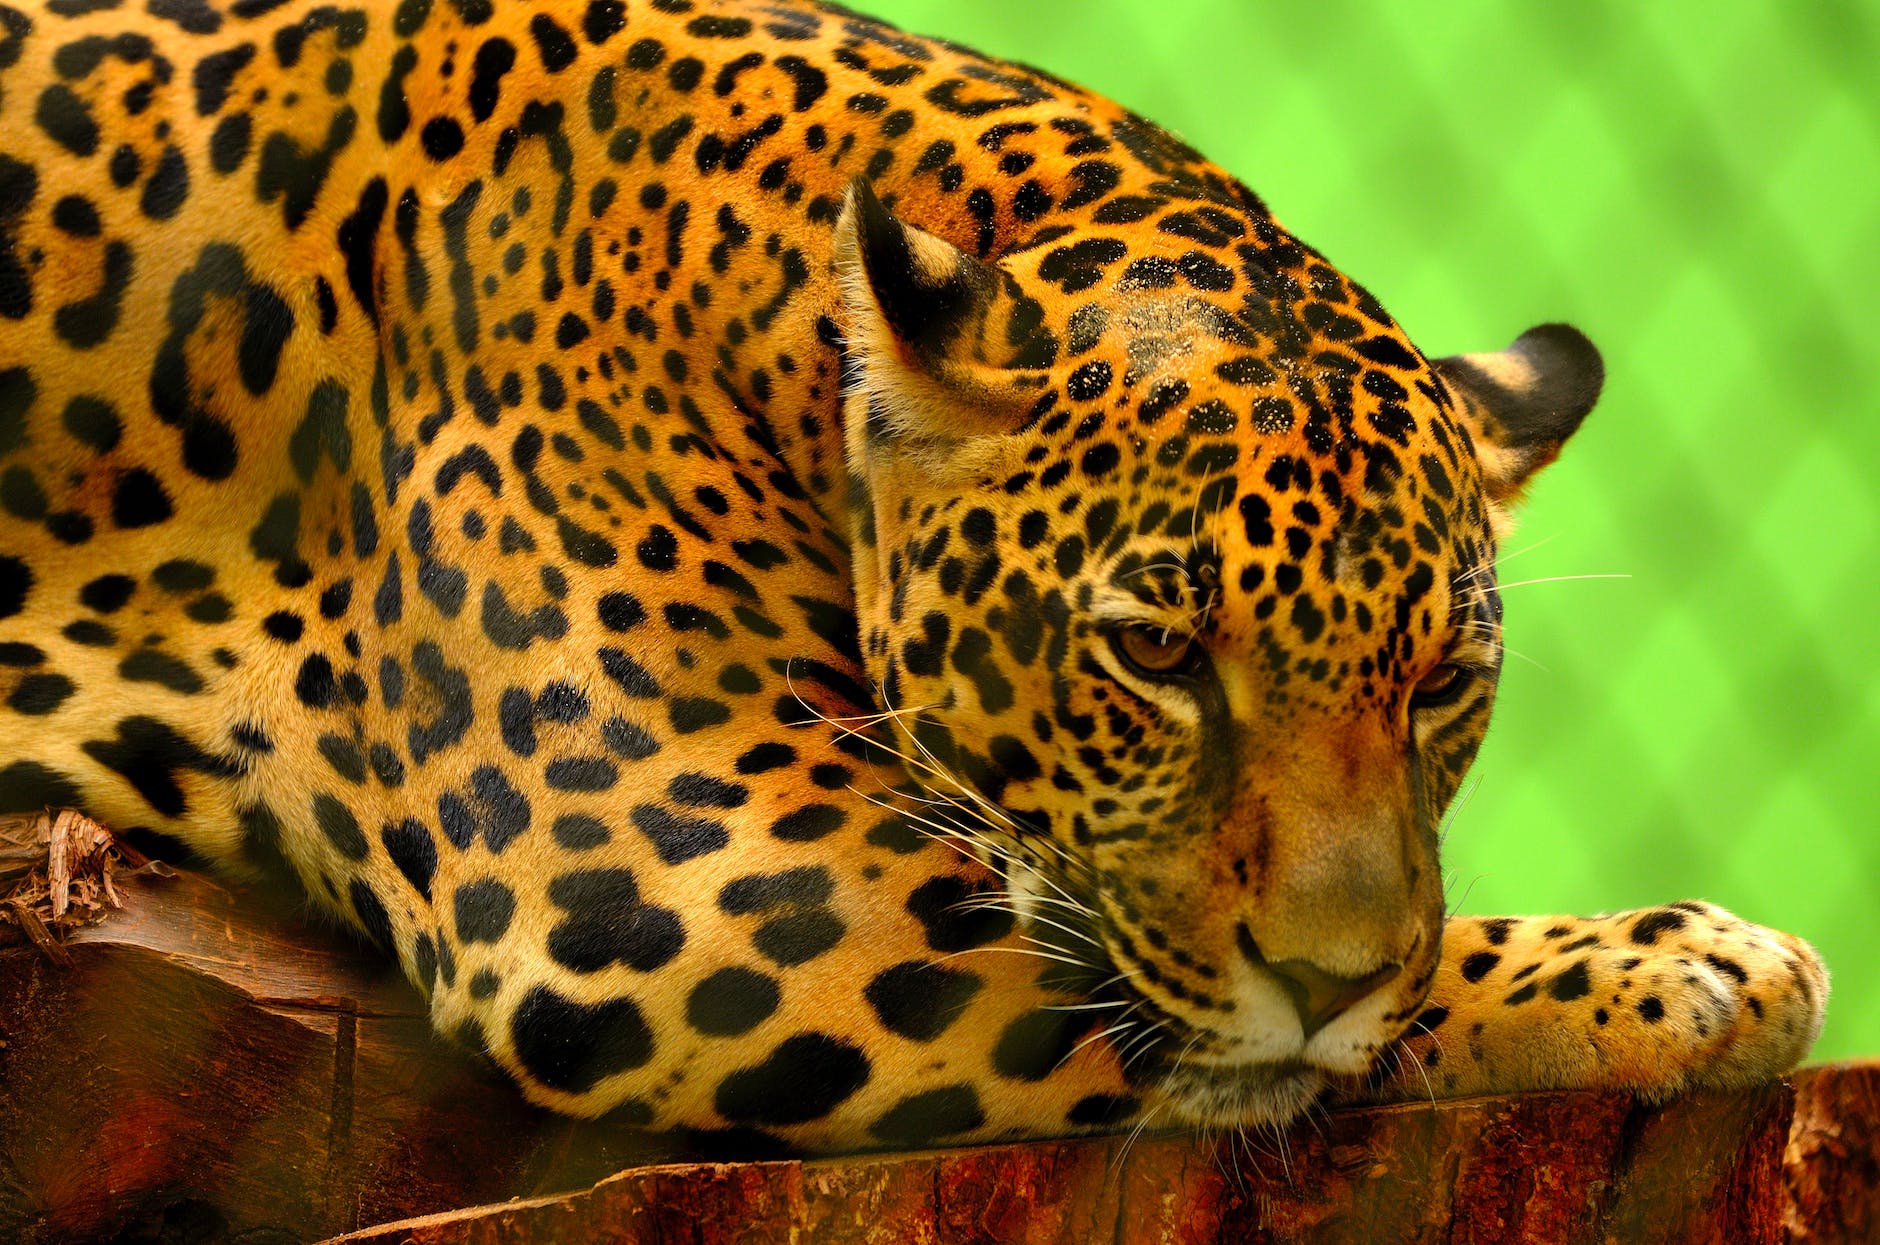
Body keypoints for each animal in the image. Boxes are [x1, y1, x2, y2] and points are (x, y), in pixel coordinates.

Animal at [0, 0, 1827, 1154]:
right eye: (1158, 653)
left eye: (1442, 683)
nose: (1328, 977)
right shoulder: (669, 875)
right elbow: (1201, 1019)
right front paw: (1670, 966)